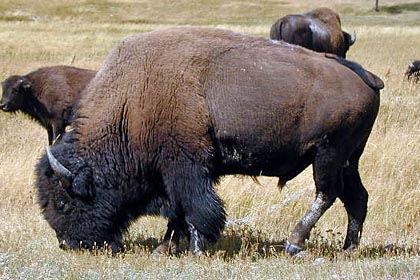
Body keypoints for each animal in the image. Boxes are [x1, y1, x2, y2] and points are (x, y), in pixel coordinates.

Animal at [36, 26, 384, 256]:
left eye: (64, 201)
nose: (68, 244)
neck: (134, 99)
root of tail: (364, 76)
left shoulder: (186, 166)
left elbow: (195, 208)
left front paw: (195, 249)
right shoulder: (174, 171)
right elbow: (178, 211)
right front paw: (164, 248)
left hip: (328, 153)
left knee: (327, 193)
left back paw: (294, 243)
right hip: (348, 158)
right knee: (357, 198)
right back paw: (349, 249)